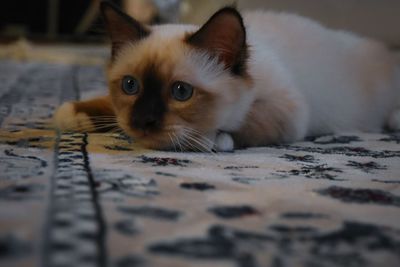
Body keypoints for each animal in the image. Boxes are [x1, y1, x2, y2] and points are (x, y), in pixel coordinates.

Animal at [54, 0, 400, 153]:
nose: (143, 122)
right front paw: (73, 113)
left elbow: (243, 124)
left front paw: (211, 139)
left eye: (181, 92)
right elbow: (105, 105)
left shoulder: (288, 112)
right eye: (130, 86)